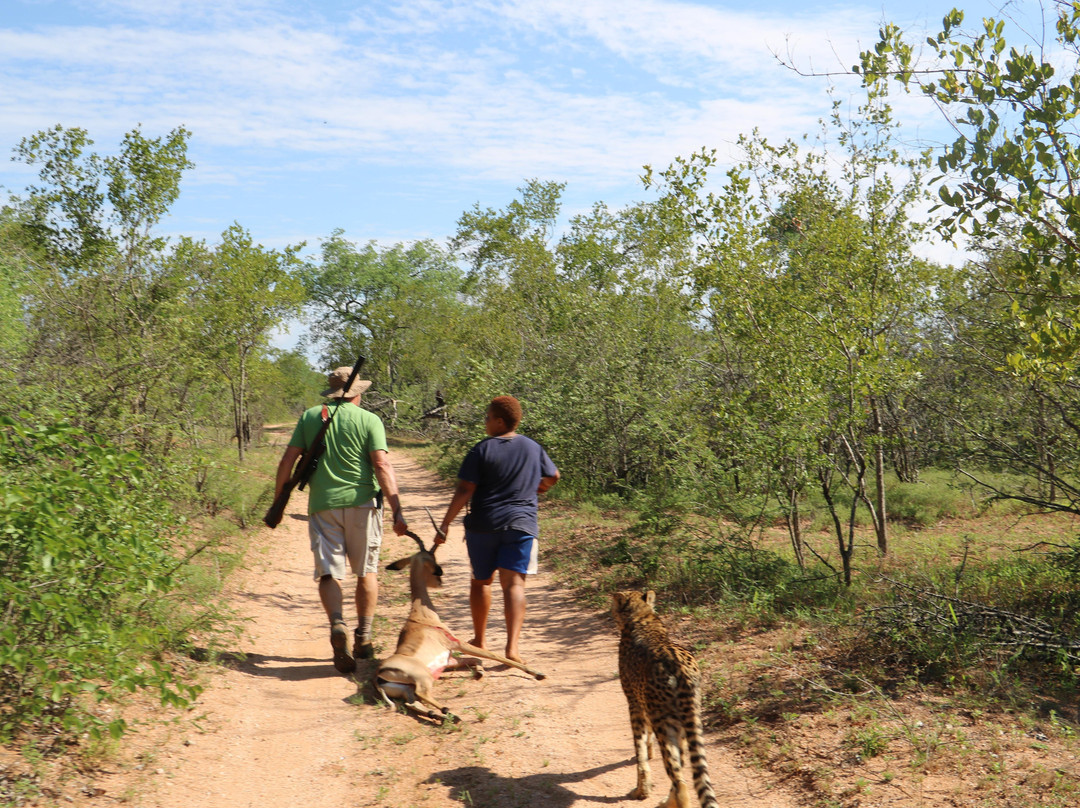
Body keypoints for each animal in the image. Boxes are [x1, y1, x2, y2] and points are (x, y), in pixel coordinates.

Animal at [378, 533, 548, 717]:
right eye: (431, 558)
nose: (439, 579)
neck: (423, 615)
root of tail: (379, 676)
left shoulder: (449, 660)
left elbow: (477, 660)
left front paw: (480, 673)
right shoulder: (457, 643)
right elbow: (492, 655)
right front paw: (537, 673)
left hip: (409, 687)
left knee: (413, 703)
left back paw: (438, 715)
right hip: (423, 678)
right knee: (422, 694)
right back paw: (451, 714)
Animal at [613, 587, 721, 808]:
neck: (641, 616)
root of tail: (680, 665)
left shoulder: (635, 704)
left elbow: (639, 750)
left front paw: (641, 790)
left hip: (664, 721)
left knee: (679, 780)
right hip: (687, 718)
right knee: (681, 766)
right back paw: (667, 801)